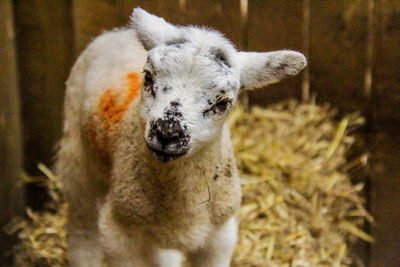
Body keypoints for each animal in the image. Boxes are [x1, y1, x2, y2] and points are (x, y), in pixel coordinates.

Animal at [55, 7, 306, 266]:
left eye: (223, 102)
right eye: (148, 78)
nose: (168, 133)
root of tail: (117, 32)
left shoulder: (220, 235)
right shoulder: (119, 231)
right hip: (76, 152)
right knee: (81, 221)